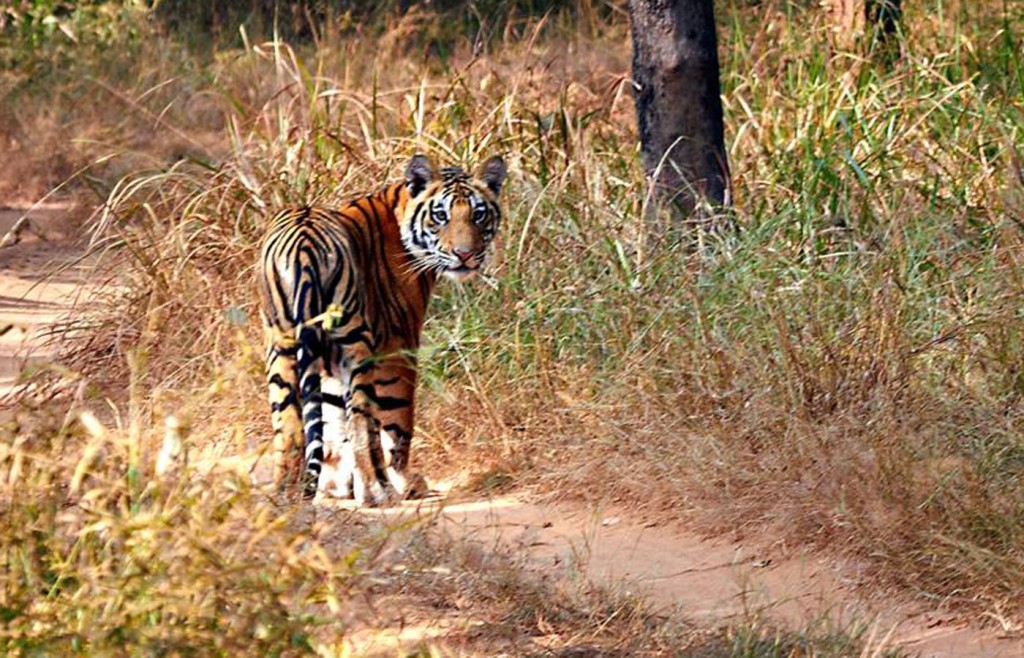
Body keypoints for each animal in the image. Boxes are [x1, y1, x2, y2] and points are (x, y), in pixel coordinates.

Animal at [256, 153, 503, 505]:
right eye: (440, 216)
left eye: (478, 214)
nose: (465, 255)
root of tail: (304, 240)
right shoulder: (398, 348)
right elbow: (395, 423)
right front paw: (403, 481)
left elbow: (332, 421)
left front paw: (335, 484)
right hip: (356, 346)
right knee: (361, 421)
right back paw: (376, 490)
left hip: (282, 346)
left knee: (289, 426)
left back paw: (286, 492)